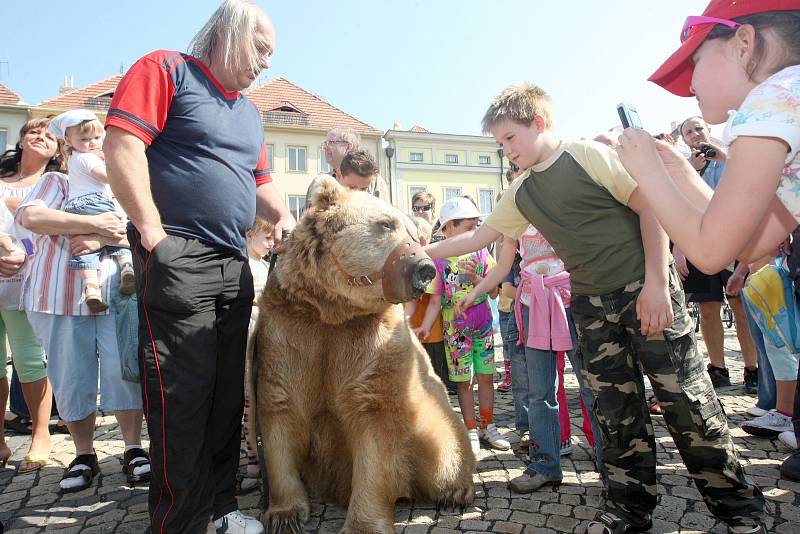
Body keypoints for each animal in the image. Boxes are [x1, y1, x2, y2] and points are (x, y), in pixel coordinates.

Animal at [258, 178, 476, 532]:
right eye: (386, 224)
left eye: (414, 234)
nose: (424, 268)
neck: (333, 311)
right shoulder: (292, 332)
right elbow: (282, 410)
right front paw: (284, 514)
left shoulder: (371, 345)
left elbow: (376, 425)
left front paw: (363, 523)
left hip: (432, 420)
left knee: (446, 448)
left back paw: (455, 492)